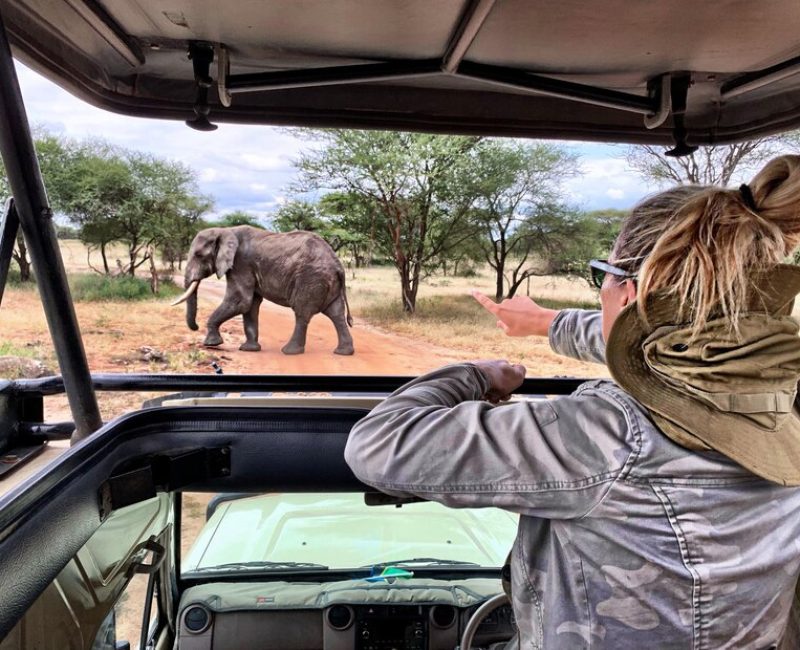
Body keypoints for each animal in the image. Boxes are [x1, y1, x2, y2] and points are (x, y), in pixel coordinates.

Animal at [172, 226, 354, 355]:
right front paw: (249, 349)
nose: (195, 327)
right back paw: (343, 352)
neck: (225, 230)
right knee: (336, 314)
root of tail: (339, 266)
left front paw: (211, 343)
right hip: (326, 281)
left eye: (198, 255)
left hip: (311, 279)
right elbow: (251, 304)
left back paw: (289, 352)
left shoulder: (241, 264)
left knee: (302, 313)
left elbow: (240, 300)